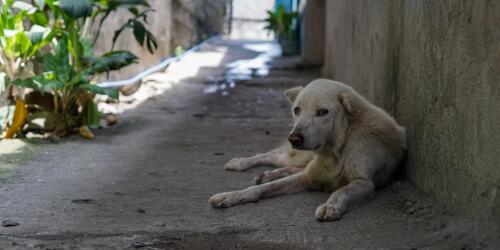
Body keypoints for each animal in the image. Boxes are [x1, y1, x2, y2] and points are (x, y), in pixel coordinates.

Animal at [207, 79, 406, 222]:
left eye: (323, 112)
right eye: (297, 110)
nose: (294, 138)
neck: (336, 152)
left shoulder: (365, 183)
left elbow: (341, 191)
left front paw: (330, 207)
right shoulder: (307, 177)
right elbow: (263, 188)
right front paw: (230, 196)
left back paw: (269, 173)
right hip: (298, 155)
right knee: (272, 156)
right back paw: (239, 163)